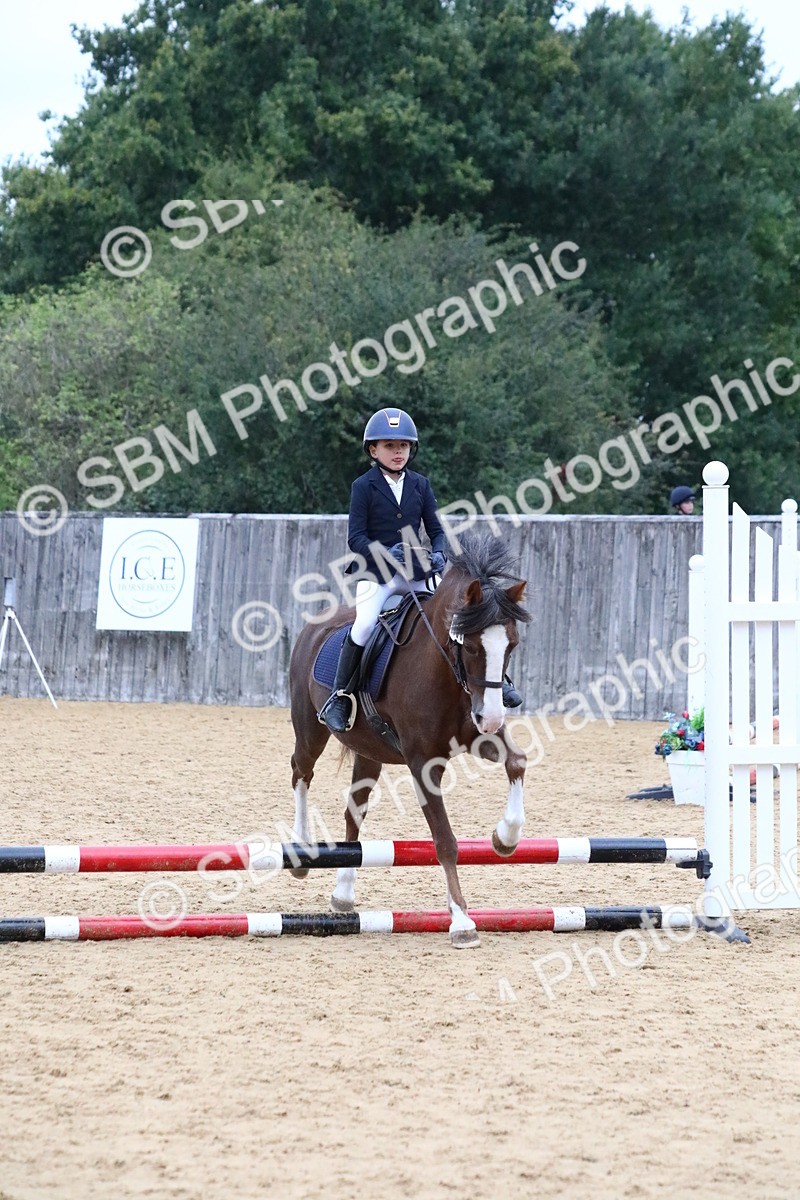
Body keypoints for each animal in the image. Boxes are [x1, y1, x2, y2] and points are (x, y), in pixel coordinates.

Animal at [287, 532, 531, 947]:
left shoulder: (478, 737)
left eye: (511, 645)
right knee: (301, 772)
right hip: (309, 730)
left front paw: (505, 838)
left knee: (354, 810)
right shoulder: (422, 763)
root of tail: (315, 626)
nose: (492, 716)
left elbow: (517, 761)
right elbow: (445, 841)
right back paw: (303, 852)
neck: (445, 672)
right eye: (469, 646)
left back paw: (343, 893)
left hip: (369, 751)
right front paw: (462, 921)